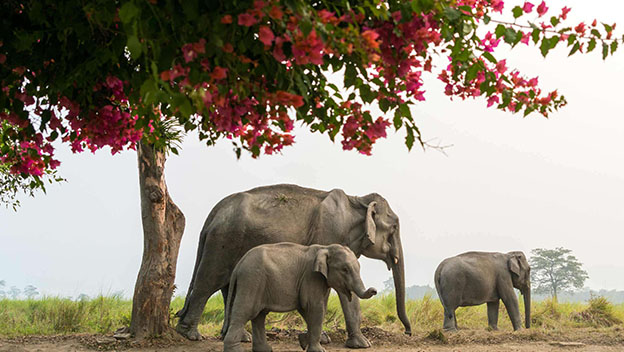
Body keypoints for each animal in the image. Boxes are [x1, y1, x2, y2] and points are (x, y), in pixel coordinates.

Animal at [224, 242, 380, 352]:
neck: (325, 247)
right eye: (345, 269)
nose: (375, 290)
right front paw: (318, 350)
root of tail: (238, 266)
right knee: (245, 311)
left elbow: (310, 309)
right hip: (252, 280)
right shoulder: (312, 277)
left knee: (259, 315)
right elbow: (315, 308)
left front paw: (303, 341)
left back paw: (265, 350)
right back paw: (236, 350)